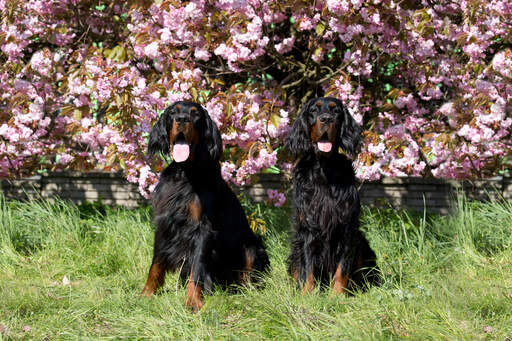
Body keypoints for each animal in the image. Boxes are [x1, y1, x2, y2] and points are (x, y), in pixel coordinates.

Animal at [140, 99, 268, 310]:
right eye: (172, 113)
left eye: (195, 114)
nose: (181, 119)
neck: (185, 171)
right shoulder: (164, 224)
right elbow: (155, 264)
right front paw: (146, 293)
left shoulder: (202, 229)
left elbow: (197, 268)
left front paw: (193, 302)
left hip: (253, 247)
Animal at [286, 97, 378, 294]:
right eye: (314, 110)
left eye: (336, 111)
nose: (326, 119)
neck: (324, 169)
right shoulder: (308, 226)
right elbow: (308, 266)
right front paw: (307, 293)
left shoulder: (347, 226)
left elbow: (342, 268)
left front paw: (337, 295)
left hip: (362, 244)